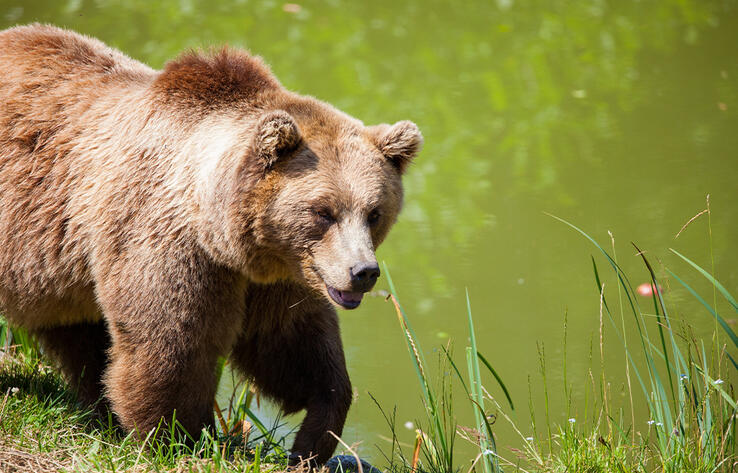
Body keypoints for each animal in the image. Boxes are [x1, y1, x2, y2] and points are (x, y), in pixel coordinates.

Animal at [0, 24, 422, 464]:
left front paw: (314, 438)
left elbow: (293, 345)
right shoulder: (168, 242)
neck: (222, 233)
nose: (363, 271)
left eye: (374, 212)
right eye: (323, 211)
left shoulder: (278, 275)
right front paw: (176, 436)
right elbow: (172, 343)